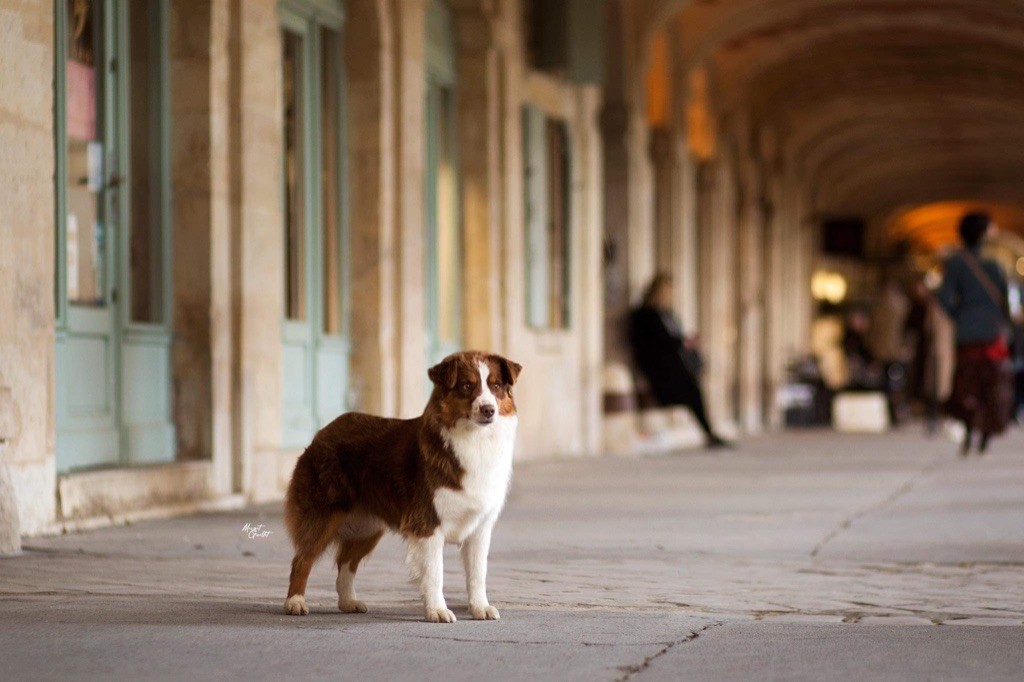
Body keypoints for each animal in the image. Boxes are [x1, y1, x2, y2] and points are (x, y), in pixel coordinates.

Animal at [280, 350, 520, 622]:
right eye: (467, 386)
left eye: (496, 386)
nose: (489, 410)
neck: (474, 439)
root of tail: (322, 431)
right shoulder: (427, 523)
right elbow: (435, 573)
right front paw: (437, 610)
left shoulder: (480, 527)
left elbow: (478, 574)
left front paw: (480, 607)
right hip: (324, 514)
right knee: (302, 559)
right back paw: (295, 602)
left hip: (367, 527)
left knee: (346, 563)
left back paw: (348, 601)